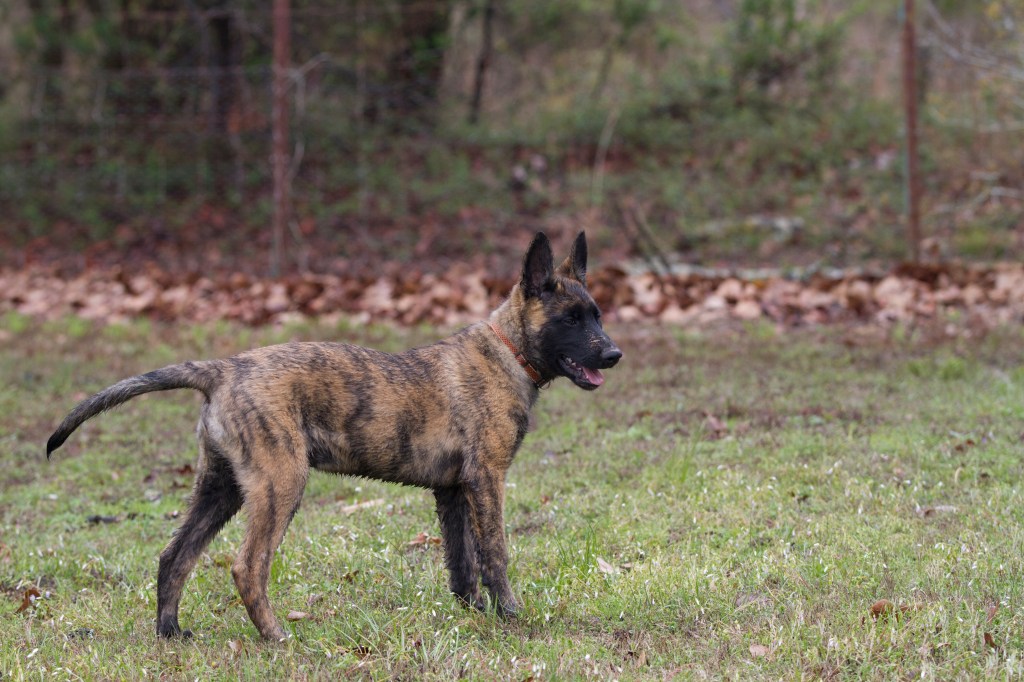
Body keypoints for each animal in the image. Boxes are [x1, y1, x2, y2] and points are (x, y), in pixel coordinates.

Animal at [48, 231, 618, 638]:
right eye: (571, 319)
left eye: (597, 315)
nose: (614, 354)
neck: (507, 352)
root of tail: (223, 369)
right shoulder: (487, 480)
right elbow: (495, 555)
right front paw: (511, 616)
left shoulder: (453, 491)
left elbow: (461, 566)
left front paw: (475, 614)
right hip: (280, 484)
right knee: (247, 567)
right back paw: (276, 636)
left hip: (221, 487)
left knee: (175, 556)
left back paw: (170, 632)